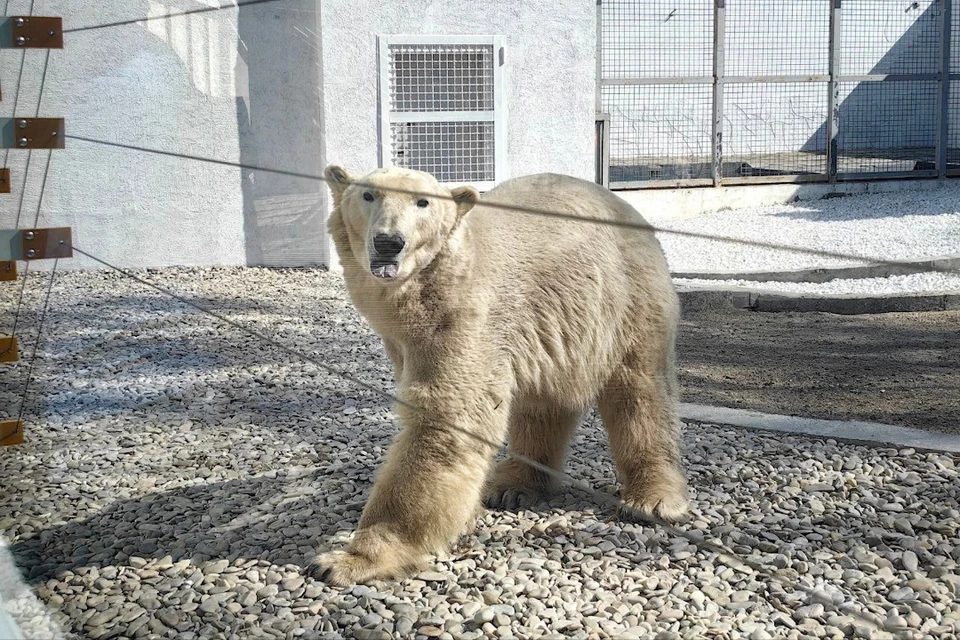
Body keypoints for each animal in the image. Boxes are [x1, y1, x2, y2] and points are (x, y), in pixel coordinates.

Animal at [314, 166, 688, 584]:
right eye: (368, 195)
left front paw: (350, 559)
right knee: (541, 403)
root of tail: (627, 209)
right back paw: (512, 485)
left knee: (639, 390)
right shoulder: (403, 341)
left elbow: (446, 420)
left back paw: (652, 498)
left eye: (423, 202)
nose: (389, 242)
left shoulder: (463, 317)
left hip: (625, 299)